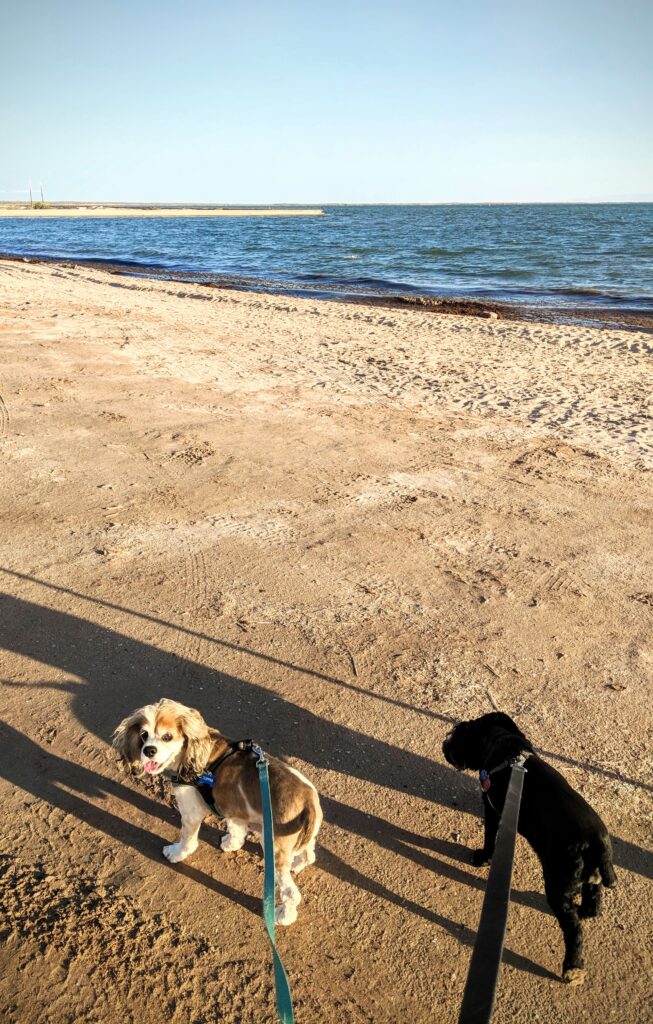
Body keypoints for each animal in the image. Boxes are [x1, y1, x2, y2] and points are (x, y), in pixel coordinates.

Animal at [116, 696, 325, 929]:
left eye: (167, 736)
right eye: (144, 735)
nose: (149, 750)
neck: (194, 754)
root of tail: (308, 798)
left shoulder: (191, 812)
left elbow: (187, 841)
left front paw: (176, 853)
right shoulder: (235, 808)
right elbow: (236, 829)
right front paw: (231, 844)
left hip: (274, 846)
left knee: (291, 892)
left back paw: (283, 915)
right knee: (309, 854)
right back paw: (297, 864)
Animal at [442, 712, 618, 983]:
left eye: (456, 737)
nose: (444, 744)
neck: (506, 749)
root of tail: (597, 845)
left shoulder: (492, 809)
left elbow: (490, 839)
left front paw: (482, 858)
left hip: (557, 884)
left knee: (573, 929)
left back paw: (572, 966)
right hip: (589, 880)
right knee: (592, 904)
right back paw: (584, 912)